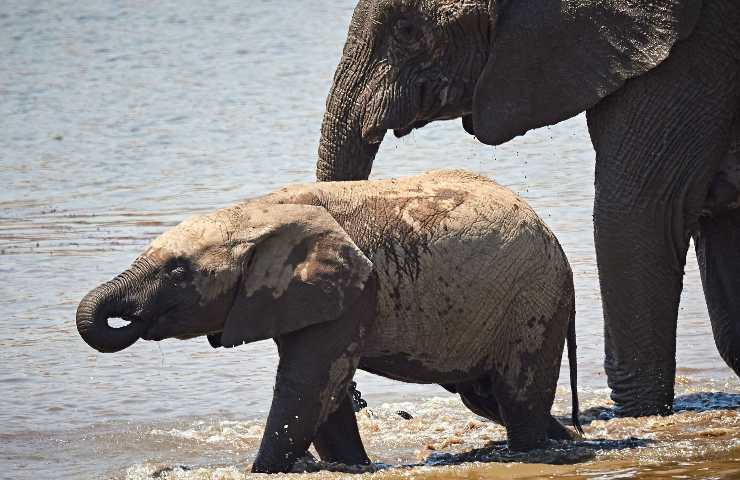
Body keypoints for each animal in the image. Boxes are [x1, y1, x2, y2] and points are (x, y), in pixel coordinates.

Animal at [76, 169, 584, 472]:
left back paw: (532, 451)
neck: (256, 211)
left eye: (178, 271)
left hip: (534, 295)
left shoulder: (357, 287)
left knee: (515, 394)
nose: (134, 320)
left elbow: (309, 383)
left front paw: (259, 472)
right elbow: (324, 391)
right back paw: (568, 439)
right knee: (484, 396)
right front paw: (353, 468)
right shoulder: (300, 297)